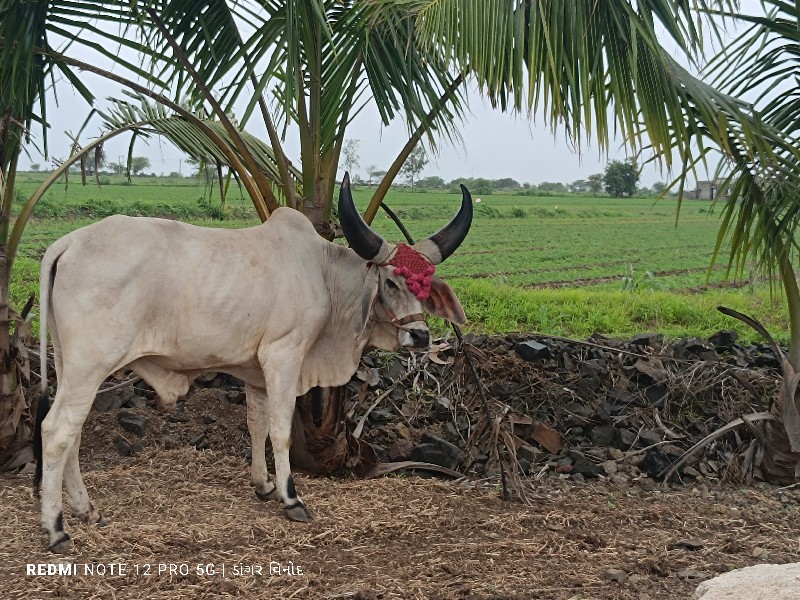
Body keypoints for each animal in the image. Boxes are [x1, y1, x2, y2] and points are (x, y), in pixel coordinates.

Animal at [34, 175, 472, 552]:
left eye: (427, 286)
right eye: (392, 282)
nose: (420, 337)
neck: (324, 274)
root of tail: (68, 243)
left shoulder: (257, 372)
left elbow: (256, 425)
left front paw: (264, 485)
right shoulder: (284, 355)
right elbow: (280, 431)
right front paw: (291, 498)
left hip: (76, 369)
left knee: (72, 435)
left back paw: (86, 510)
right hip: (89, 367)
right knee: (56, 432)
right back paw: (57, 529)